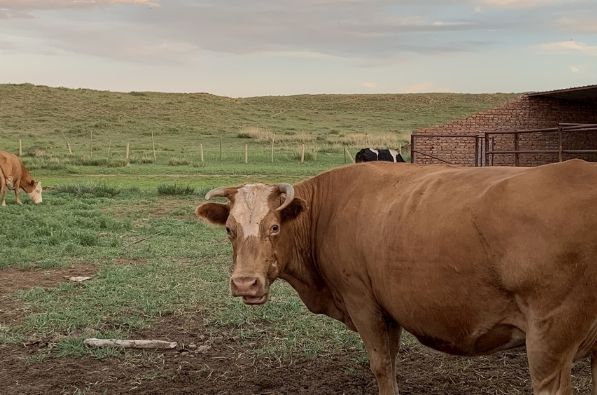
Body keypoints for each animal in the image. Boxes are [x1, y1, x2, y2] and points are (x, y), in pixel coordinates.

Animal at [197, 159, 596, 394]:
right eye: (229, 230)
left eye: (275, 227)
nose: (245, 283)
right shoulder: (389, 308)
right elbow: (390, 359)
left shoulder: (362, 301)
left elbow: (381, 365)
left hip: (549, 339)